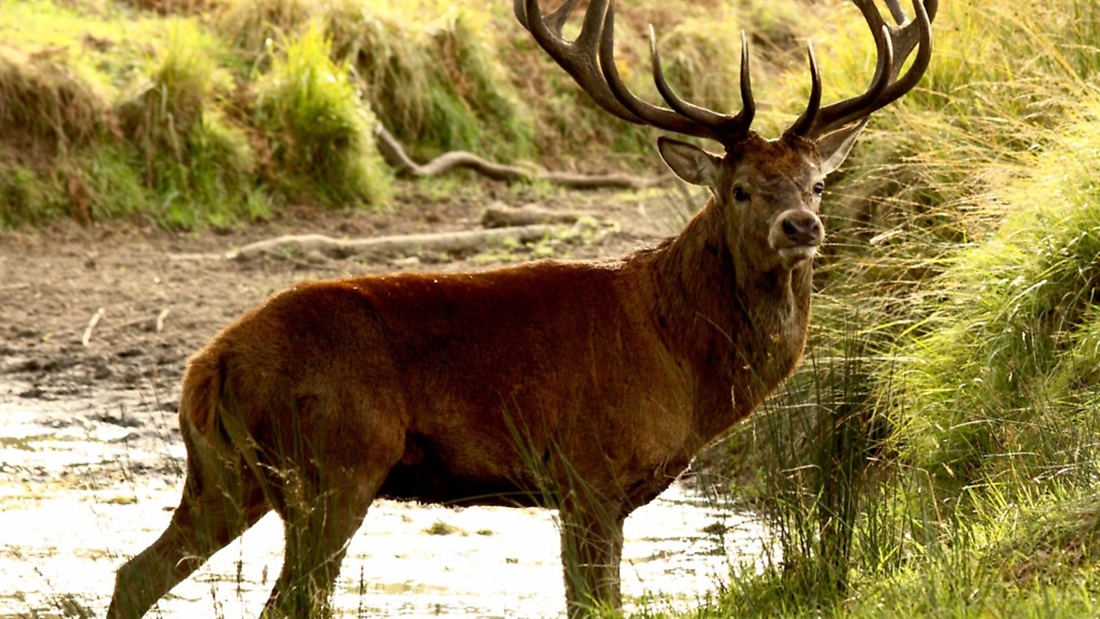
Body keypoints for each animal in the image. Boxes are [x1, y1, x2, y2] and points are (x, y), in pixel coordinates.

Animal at [105, 0, 937, 615]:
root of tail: (209, 363)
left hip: (225, 473)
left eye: (816, 182)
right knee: (288, 600)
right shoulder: (590, 471)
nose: (802, 226)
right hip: (335, 463)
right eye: (740, 189)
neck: (679, 360)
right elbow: (596, 606)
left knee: (135, 572)